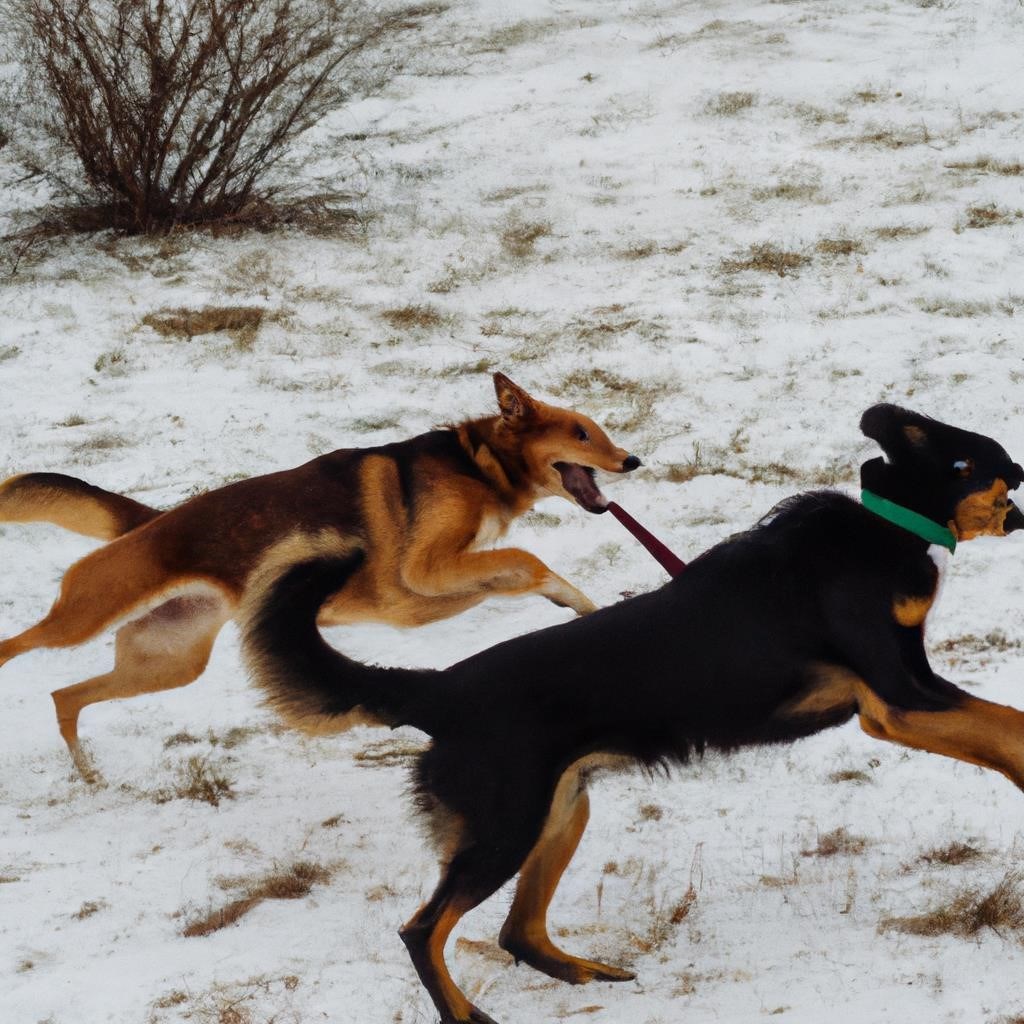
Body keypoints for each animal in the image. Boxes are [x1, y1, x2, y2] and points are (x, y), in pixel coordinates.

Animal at [0, 372, 638, 778]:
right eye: (581, 433)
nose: (633, 461)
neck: (477, 463)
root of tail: (149, 522)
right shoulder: (423, 573)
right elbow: (528, 560)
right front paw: (576, 600)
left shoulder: (419, 596)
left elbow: (521, 574)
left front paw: (580, 607)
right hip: (85, 616)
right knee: (19, 648)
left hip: (169, 660)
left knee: (65, 696)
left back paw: (87, 773)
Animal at [237, 405, 1024, 1024]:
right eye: (994, 464)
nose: (1022, 487)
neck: (887, 524)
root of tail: (439, 691)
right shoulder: (896, 699)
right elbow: (1007, 723)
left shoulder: (904, 695)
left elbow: (1001, 722)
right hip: (504, 827)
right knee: (422, 930)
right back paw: (465, 1013)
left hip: (560, 810)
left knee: (516, 932)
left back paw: (586, 972)